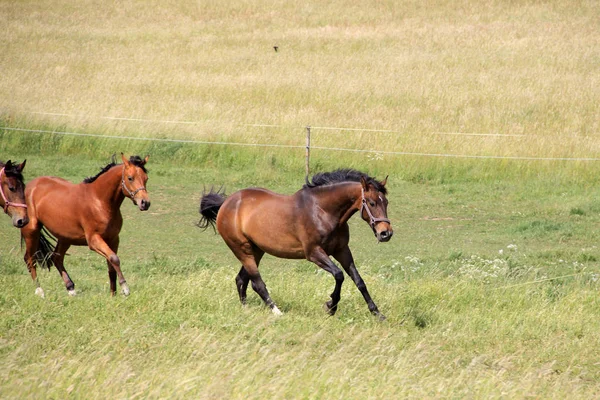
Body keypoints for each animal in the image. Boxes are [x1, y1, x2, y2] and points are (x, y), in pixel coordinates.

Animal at [20, 153, 150, 296]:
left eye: (146, 178)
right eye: (130, 178)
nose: (145, 203)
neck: (99, 201)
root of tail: (30, 186)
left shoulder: (113, 239)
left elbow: (111, 265)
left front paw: (113, 294)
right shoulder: (93, 240)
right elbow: (114, 258)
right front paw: (125, 288)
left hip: (65, 238)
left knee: (56, 257)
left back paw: (71, 289)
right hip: (31, 231)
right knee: (29, 259)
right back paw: (40, 291)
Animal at [198, 170, 394, 322]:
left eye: (386, 202)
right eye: (371, 203)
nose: (386, 233)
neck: (323, 211)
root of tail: (226, 203)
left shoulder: (342, 251)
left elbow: (359, 281)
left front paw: (377, 313)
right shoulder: (314, 253)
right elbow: (339, 275)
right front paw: (330, 306)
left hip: (256, 250)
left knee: (241, 279)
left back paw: (246, 309)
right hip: (242, 250)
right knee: (257, 283)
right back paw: (277, 312)